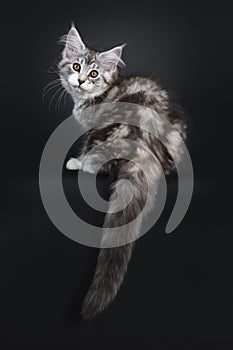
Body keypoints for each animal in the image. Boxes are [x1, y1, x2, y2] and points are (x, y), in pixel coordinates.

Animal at [57, 23, 187, 320]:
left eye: (94, 74)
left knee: (98, 164)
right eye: (76, 66)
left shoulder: (94, 126)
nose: (81, 81)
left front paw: (76, 162)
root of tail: (143, 148)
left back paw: (80, 164)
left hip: (108, 133)